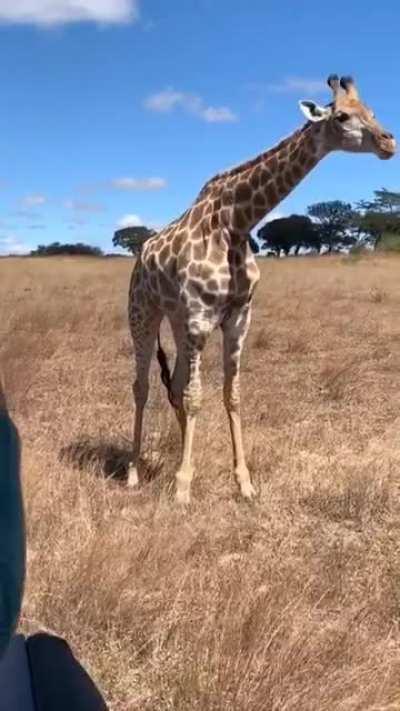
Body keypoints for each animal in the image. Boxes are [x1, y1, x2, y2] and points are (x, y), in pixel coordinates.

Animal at [127, 74, 395, 504]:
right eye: (341, 116)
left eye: (371, 111)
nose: (388, 142)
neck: (236, 222)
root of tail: (141, 254)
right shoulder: (201, 316)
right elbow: (197, 396)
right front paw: (183, 488)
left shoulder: (238, 317)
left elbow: (229, 394)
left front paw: (243, 482)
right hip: (143, 313)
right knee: (142, 386)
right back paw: (135, 472)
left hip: (177, 320)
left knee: (177, 386)